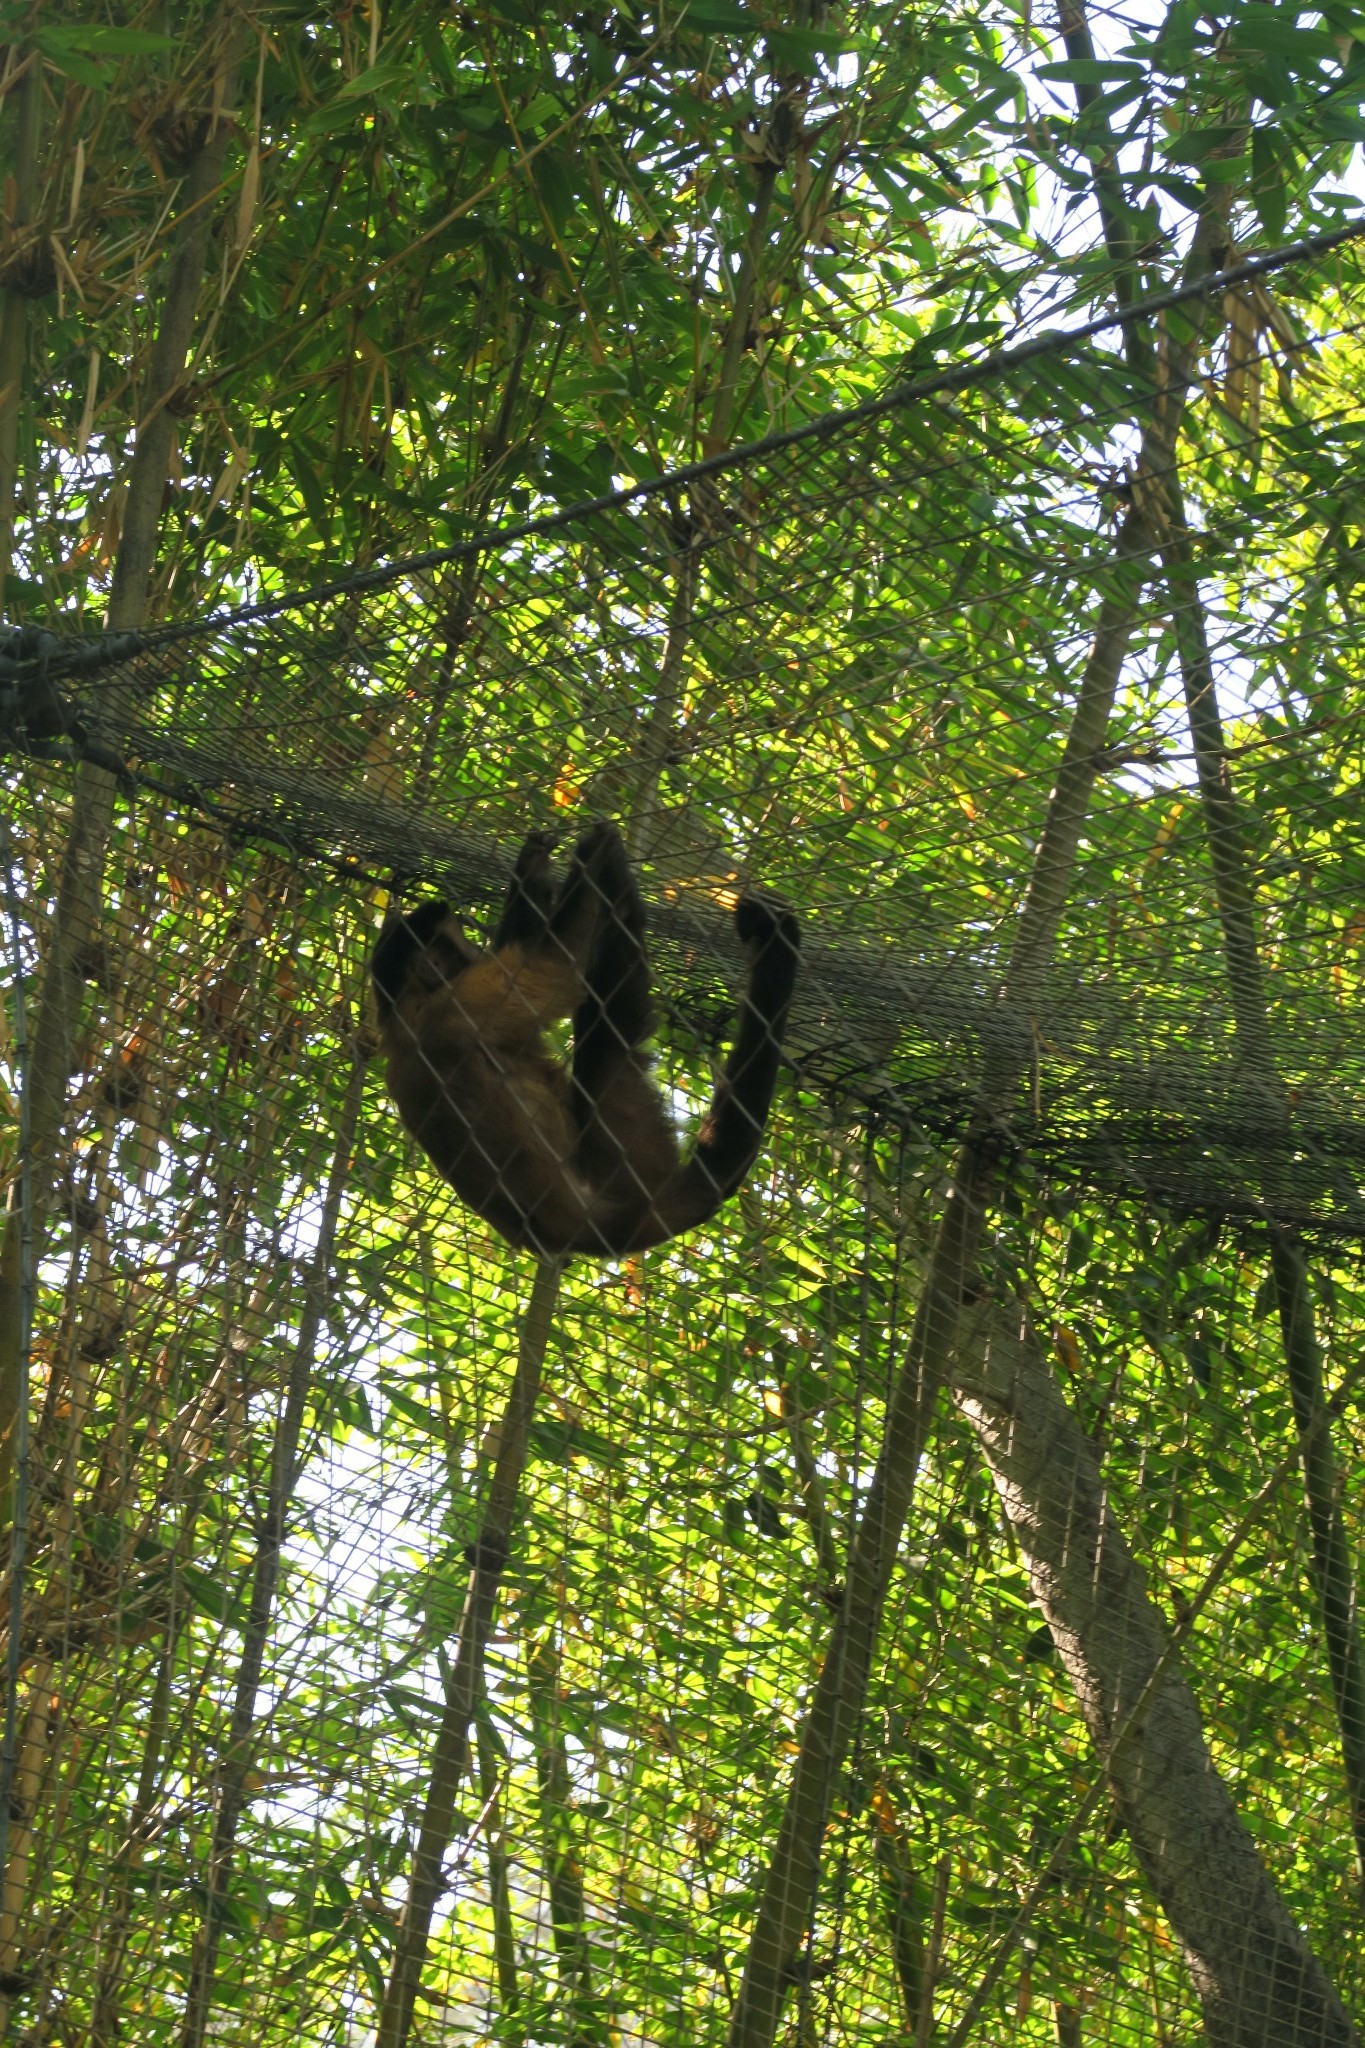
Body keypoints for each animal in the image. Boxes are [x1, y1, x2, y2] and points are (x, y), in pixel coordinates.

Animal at [370, 823, 802, 1253]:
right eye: (460, 945)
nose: (475, 950)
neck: (402, 1016)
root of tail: (593, 1232)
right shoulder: (462, 1001)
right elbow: (557, 966)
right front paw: (593, 851)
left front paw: (533, 866)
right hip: (625, 1160)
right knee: (609, 1046)